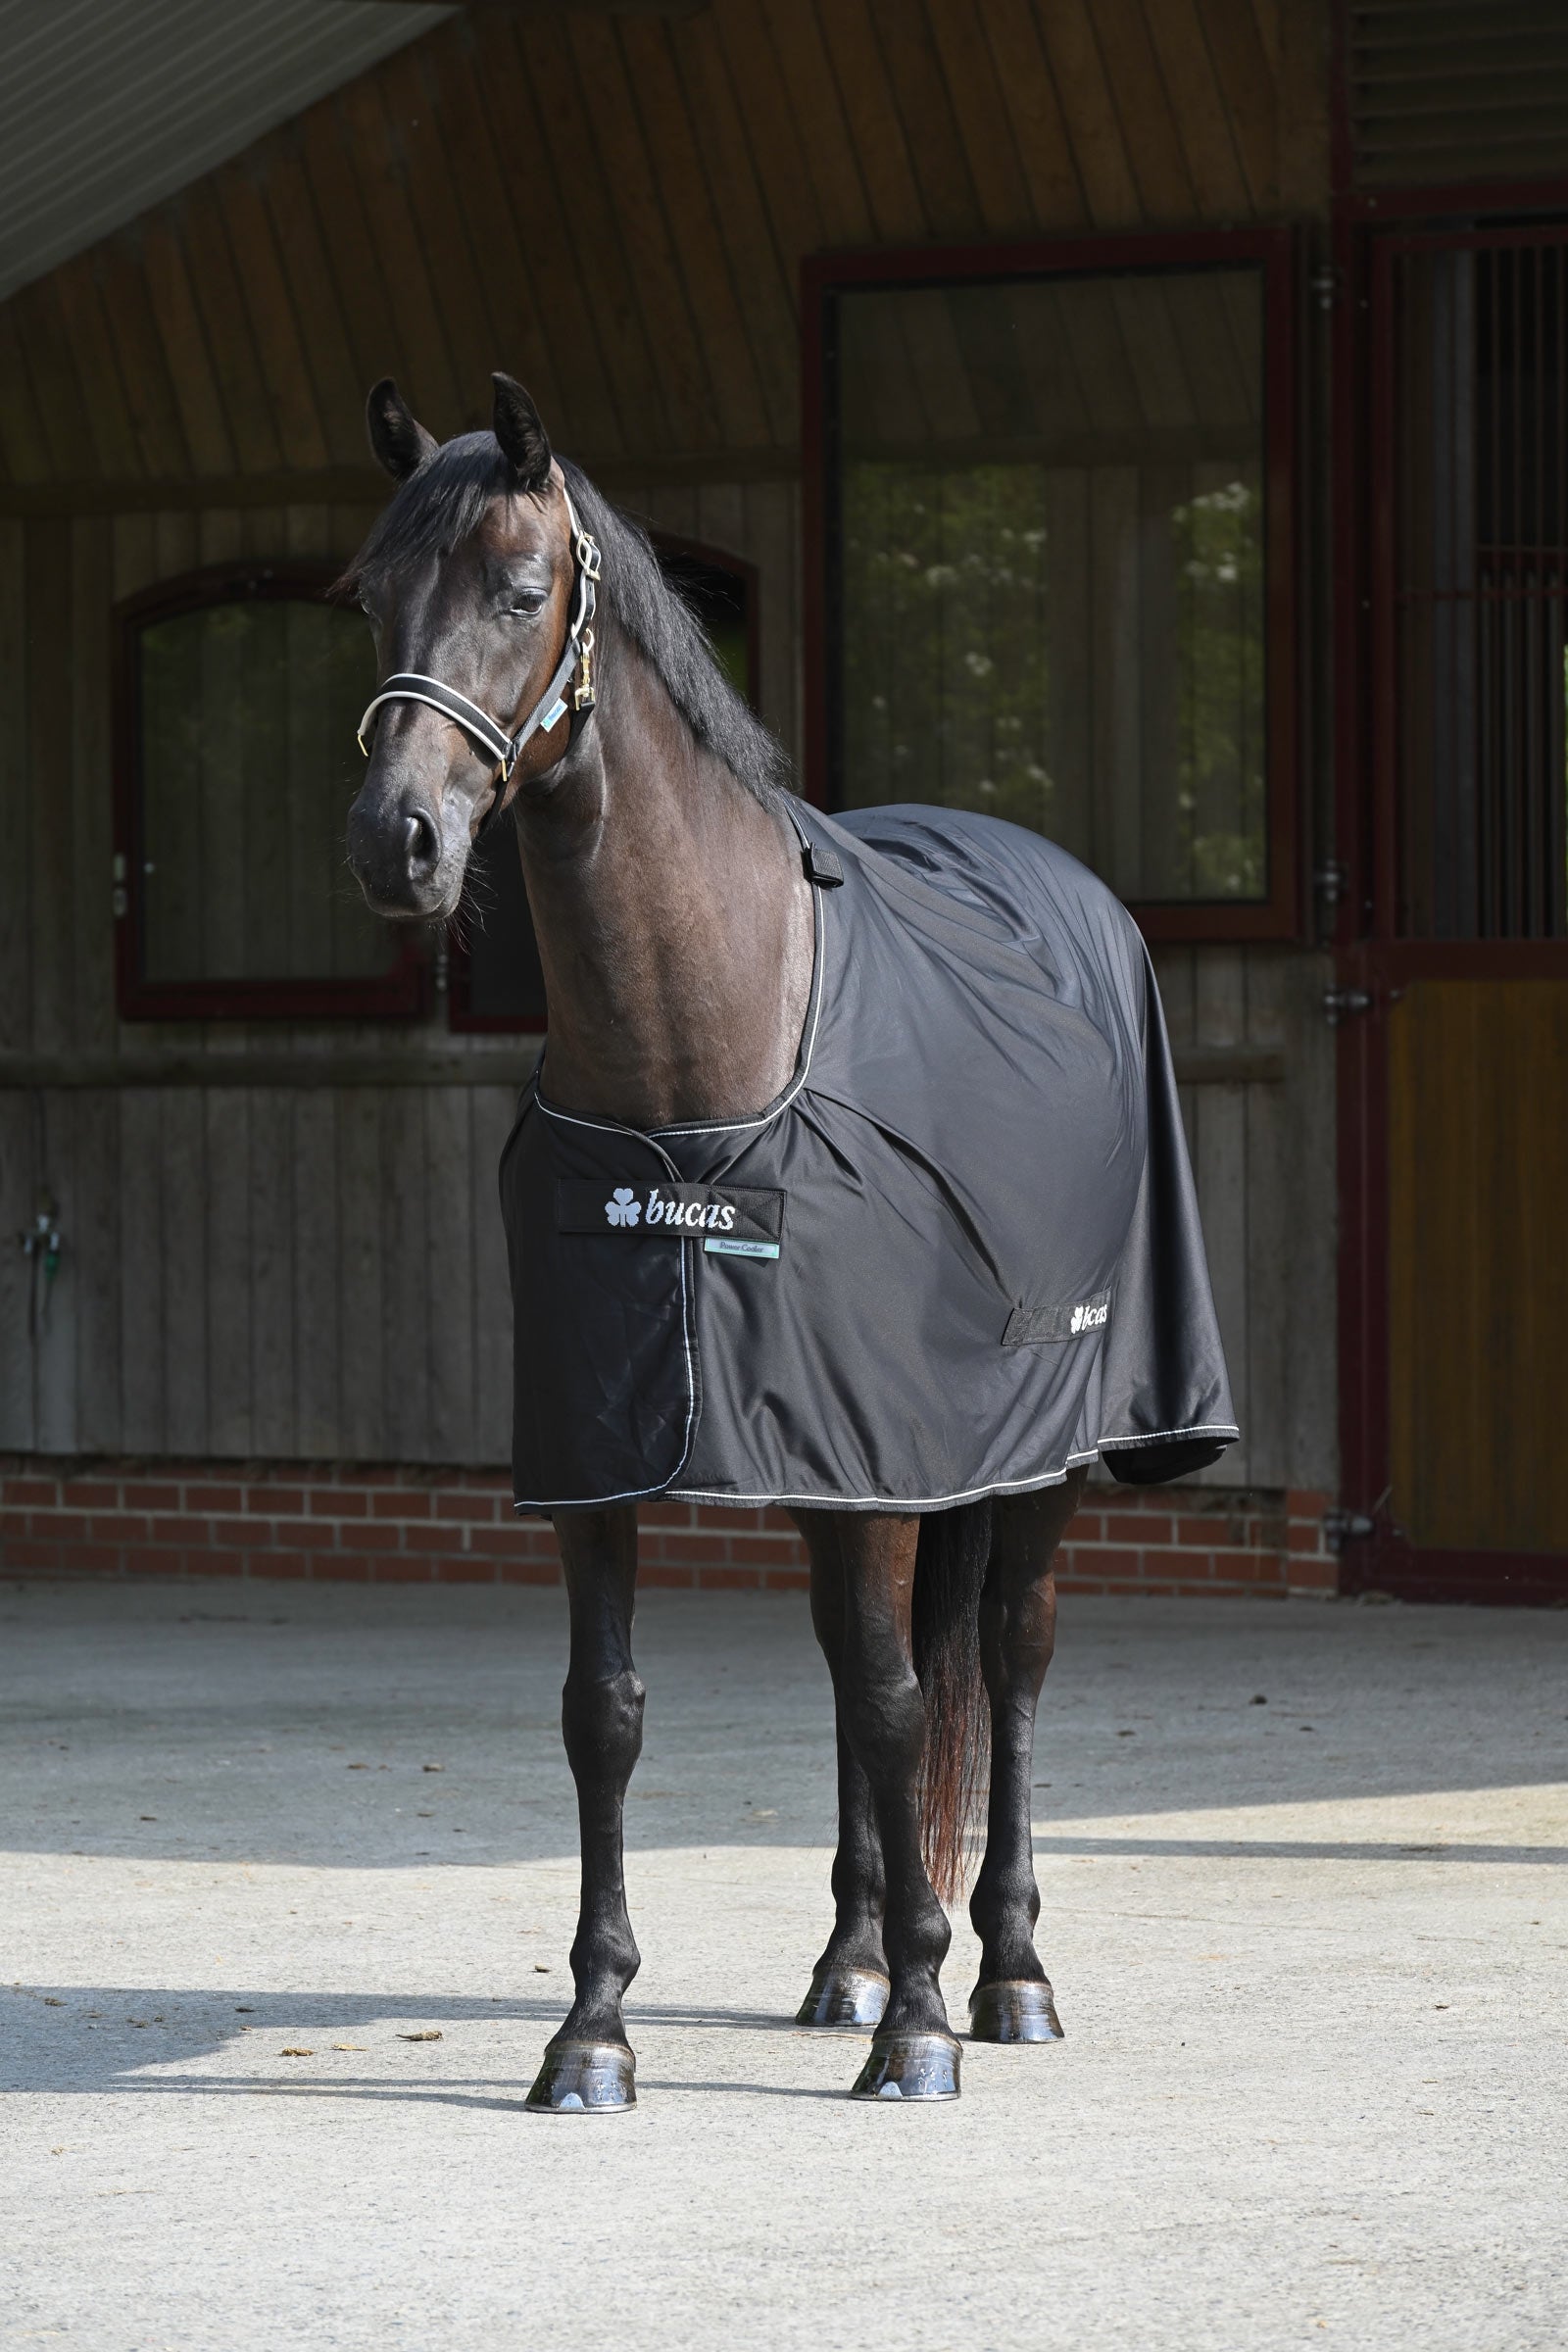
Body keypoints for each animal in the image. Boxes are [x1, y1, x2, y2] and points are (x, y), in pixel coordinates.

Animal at [343, 373, 1236, 2110]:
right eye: (366, 596)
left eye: (519, 588)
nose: (395, 839)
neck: (699, 1058)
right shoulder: (607, 1450)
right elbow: (608, 1714)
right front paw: (593, 2032)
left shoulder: (881, 1459)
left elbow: (900, 1707)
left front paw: (923, 2028)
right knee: (854, 1672)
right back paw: (847, 1961)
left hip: (1046, 1450)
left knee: (1002, 1669)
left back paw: (1006, 1974)